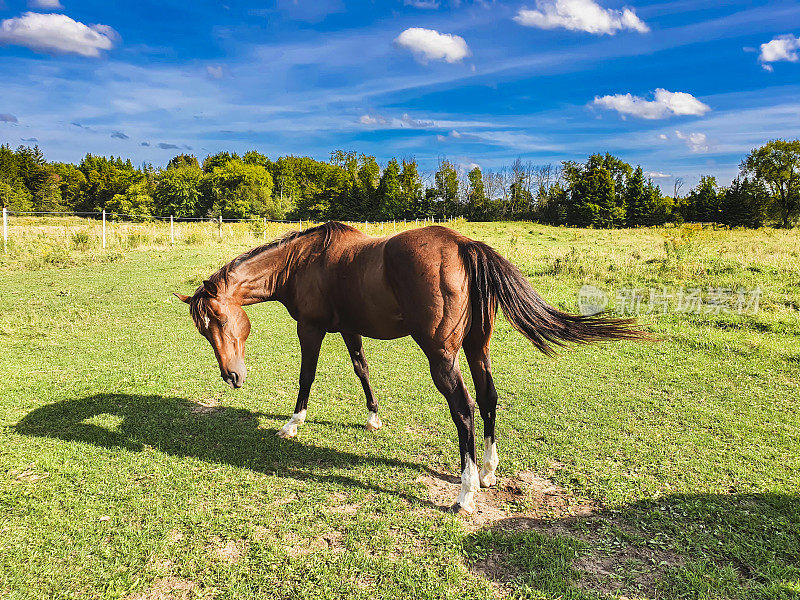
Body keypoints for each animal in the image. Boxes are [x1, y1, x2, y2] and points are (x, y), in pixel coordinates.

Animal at [175, 223, 644, 512]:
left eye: (218, 320)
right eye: (204, 329)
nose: (231, 376)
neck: (303, 262)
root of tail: (463, 246)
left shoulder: (310, 330)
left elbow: (306, 377)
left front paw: (293, 423)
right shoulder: (350, 330)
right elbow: (362, 369)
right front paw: (373, 418)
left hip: (442, 356)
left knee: (464, 409)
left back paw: (466, 492)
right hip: (477, 348)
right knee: (489, 399)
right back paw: (489, 471)